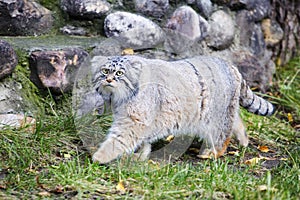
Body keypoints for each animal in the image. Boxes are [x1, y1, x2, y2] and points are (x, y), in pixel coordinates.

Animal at [91, 55, 274, 164]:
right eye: (105, 71)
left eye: (119, 73)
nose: (108, 79)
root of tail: (230, 65)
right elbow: (144, 141)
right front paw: (141, 155)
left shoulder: (134, 122)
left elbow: (118, 140)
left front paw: (100, 156)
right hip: (225, 110)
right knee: (236, 120)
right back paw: (244, 140)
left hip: (217, 118)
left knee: (222, 136)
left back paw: (212, 152)